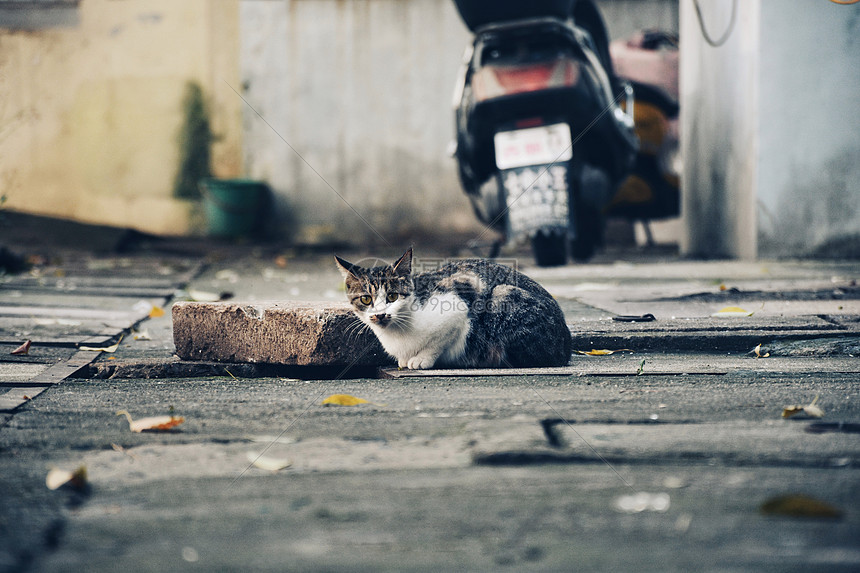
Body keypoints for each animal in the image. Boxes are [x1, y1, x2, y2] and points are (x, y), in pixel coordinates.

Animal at [336, 248, 572, 368]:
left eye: (393, 296)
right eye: (366, 299)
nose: (380, 314)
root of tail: (566, 345)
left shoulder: (461, 292)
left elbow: (440, 339)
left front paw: (422, 359)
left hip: (502, 295)